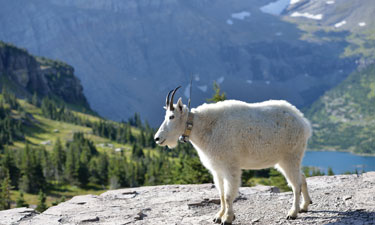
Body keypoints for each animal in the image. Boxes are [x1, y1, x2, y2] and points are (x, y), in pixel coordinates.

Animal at [154, 86, 312, 225]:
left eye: (171, 116)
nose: (157, 138)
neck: (205, 127)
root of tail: (304, 122)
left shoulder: (230, 166)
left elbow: (229, 195)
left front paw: (227, 218)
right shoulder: (217, 168)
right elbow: (222, 194)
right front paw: (218, 216)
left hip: (290, 156)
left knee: (296, 184)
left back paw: (293, 213)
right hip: (284, 160)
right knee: (302, 177)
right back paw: (304, 206)